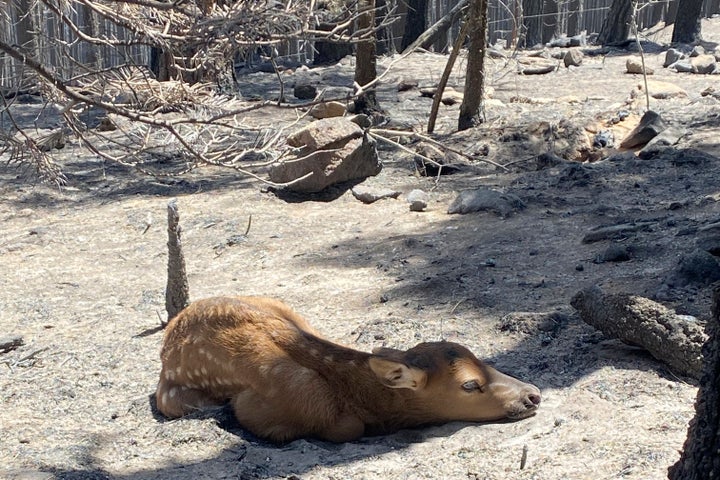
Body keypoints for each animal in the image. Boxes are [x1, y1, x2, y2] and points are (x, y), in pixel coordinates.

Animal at [158, 296, 540, 442]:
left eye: (483, 359)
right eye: (469, 385)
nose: (533, 394)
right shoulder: (266, 407)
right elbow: (346, 428)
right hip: (173, 398)